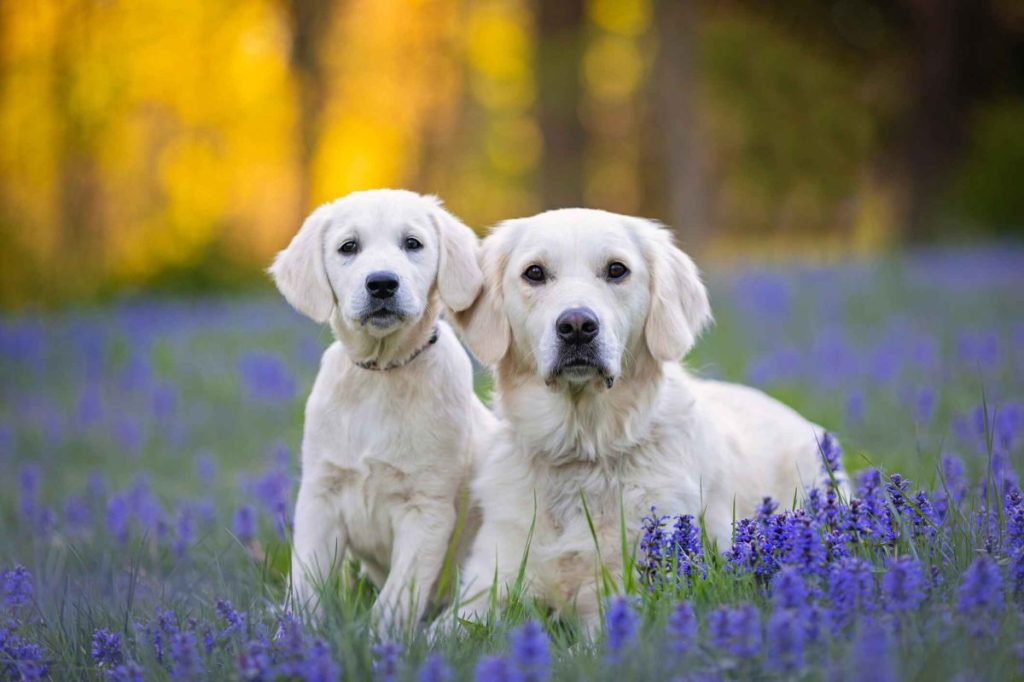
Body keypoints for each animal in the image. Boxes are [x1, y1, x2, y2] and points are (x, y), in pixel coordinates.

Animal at [270, 188, 493, 630]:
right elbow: (306, 582)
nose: (382, 283)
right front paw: (296, 634)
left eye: (413, 244)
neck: (382, 374)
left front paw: (376, 640)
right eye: (348, 247)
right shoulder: (321, 494)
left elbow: (395, 599)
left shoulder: (426, 509)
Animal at [454, 208, 831, 626]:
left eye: (617, 270)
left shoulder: (624, 590)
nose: (577, 326)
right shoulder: (487, 582)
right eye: (534, 273)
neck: (582, 449)